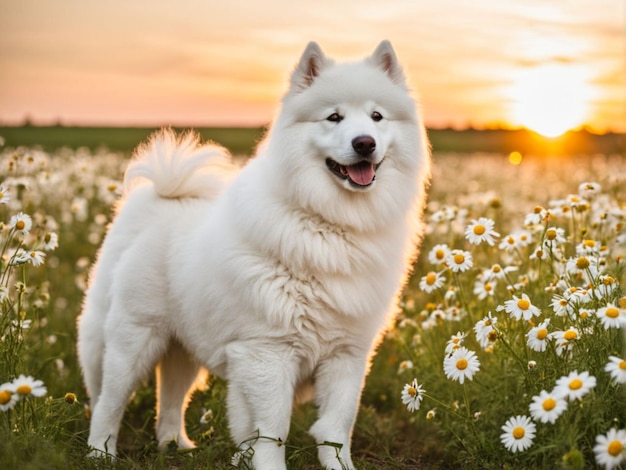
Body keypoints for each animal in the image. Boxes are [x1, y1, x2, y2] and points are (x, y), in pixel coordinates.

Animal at [78, 41, 428, 470]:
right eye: (334, 117)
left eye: (377, 116)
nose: (365, 142)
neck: (333, 224)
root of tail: (163, 196)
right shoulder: (269, 352)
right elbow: (271, 431)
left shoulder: (346, 354)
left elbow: (336, 428)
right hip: (133, 338)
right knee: (108, 401)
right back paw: (100, 452)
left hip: (183, 348)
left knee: (172, 399)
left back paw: (175, 445)